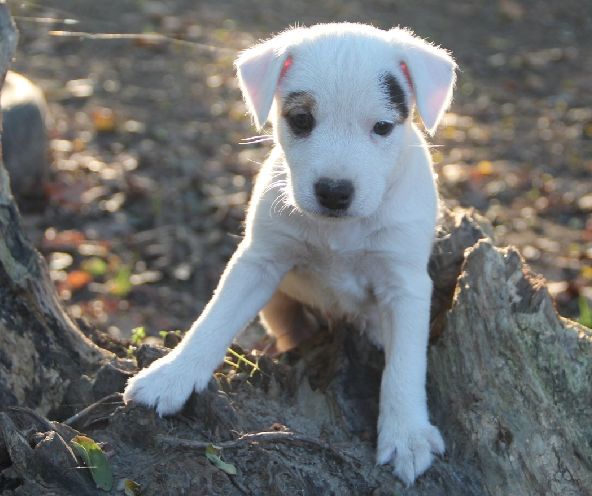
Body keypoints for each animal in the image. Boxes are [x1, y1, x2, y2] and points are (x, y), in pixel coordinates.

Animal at [123, 22, 458, 484]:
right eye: (301, 120)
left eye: (383, 127)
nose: (334, 192)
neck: (339, 230)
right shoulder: (259, 263)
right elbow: (214, 319)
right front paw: (174, 375)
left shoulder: (405, 285)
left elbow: (405, 366)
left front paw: (407, 434)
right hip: (280, 308)